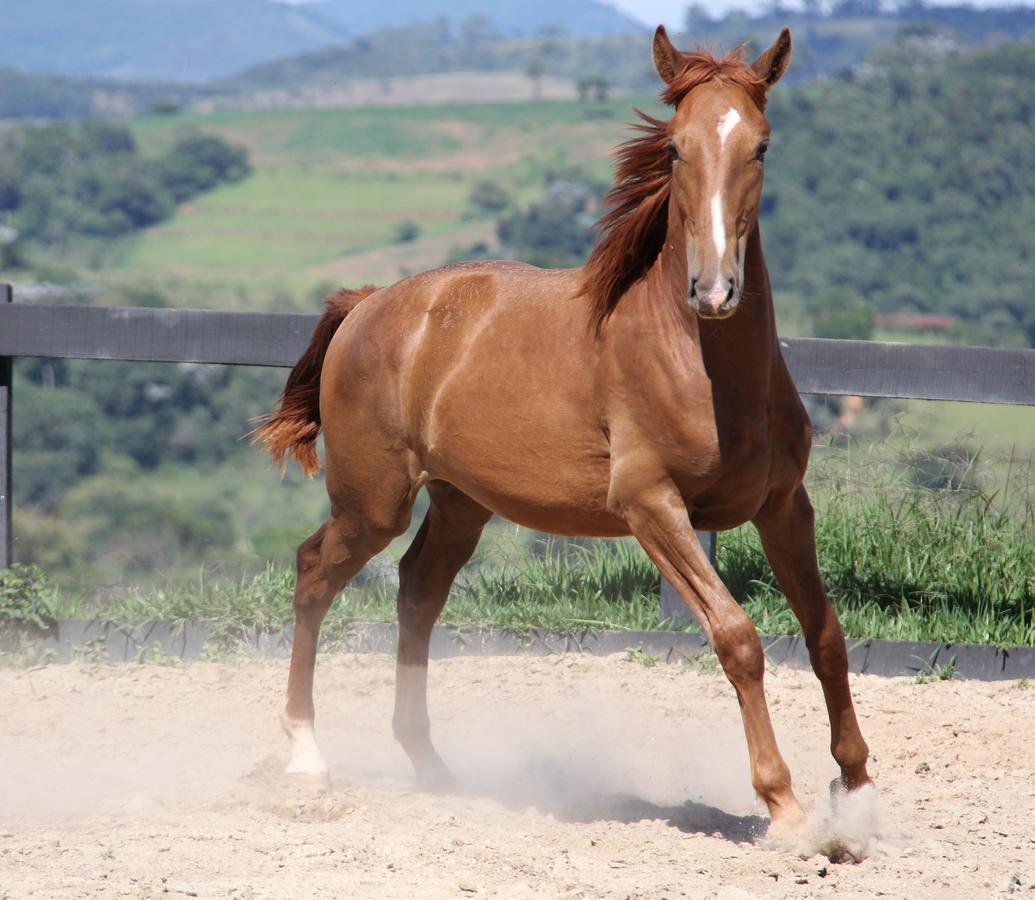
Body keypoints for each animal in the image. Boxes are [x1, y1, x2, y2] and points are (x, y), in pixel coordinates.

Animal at [254, 22, 869, 839]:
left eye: (760, 146)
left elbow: (826, 634)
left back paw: (432, 767)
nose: (713, 291)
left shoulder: (783, 506)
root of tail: (369, 302)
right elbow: (737, 637)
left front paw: (859, 793)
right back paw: (307, 761)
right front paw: (786, 807)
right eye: (676, 147)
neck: (700, 364)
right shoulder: (652, 507)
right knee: (313, 574)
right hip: (372, 502)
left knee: (418, 591)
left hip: (459, 502)